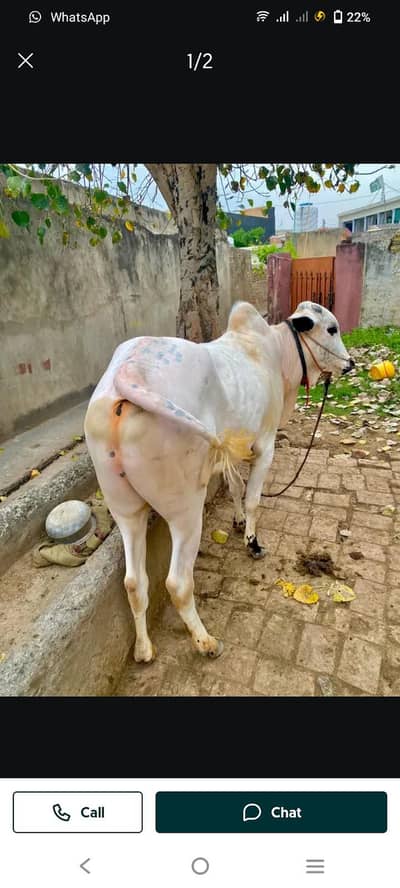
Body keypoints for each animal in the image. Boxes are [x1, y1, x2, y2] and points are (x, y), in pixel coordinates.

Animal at [84, 300, 354, 664]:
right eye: (331, 329)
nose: (350, 364)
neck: (274, 351)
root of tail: (128, 373)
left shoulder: (231, 453)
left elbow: (237, 487)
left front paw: (238, 522)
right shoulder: (265, 445)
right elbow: (252, 498)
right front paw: (252, 542)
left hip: (126, 510)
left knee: (134, 582)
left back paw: (143, 648)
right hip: (185, 511)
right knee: (177, 583)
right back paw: (205, 642)